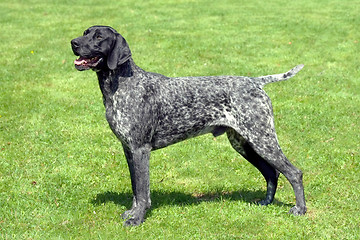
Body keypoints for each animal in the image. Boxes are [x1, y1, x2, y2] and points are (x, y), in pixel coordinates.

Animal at [70, 25, 306, 226]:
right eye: (85, 32)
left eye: (99, 37)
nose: (73, 42)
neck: (122, 84)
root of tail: (255, 82)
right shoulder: (128, 149)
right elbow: (136, 189)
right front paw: (132, 212)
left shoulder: (140, 149)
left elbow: (143, 191)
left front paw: (137, 219)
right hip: (244, 143)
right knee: (271, 173)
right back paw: (265, 203)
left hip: (262, 139)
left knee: (294, 173)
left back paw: (300, 210)